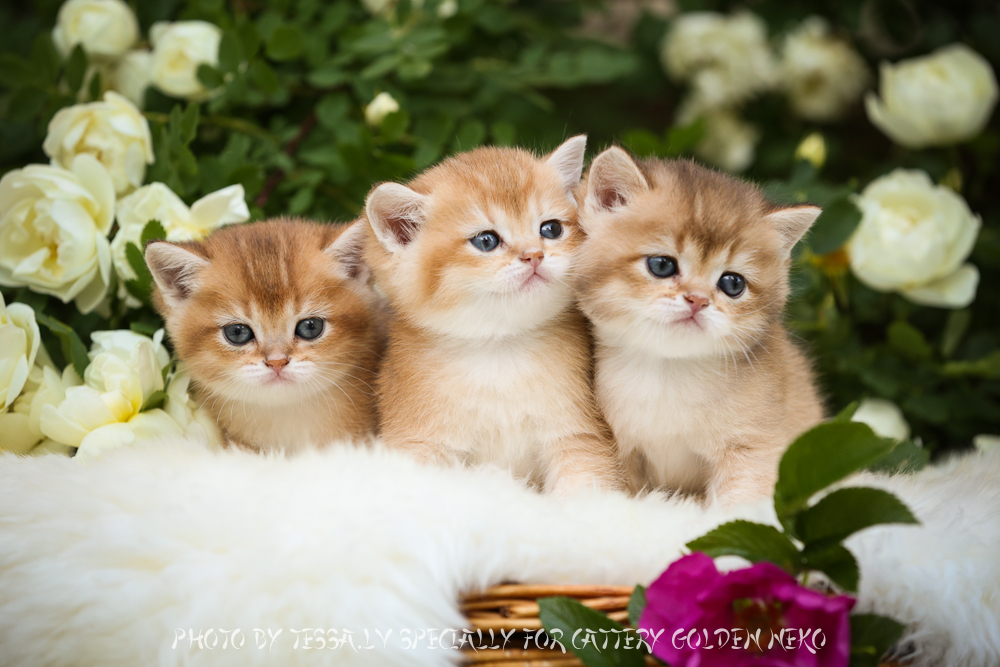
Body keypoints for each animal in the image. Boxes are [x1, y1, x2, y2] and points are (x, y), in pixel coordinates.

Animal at [364, 137, 620, 496]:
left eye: (551, 229)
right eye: (486, 241)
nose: (534, 255)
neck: (497, 350)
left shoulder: (578, 436)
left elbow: (586, 490)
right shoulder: (420, 440)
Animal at [576, 150, 824, 506]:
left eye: (732, 284)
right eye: (662, 265)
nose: (697, 300)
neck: (667, 371)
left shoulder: (753, 449)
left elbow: (739, 502)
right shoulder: (622, 452)